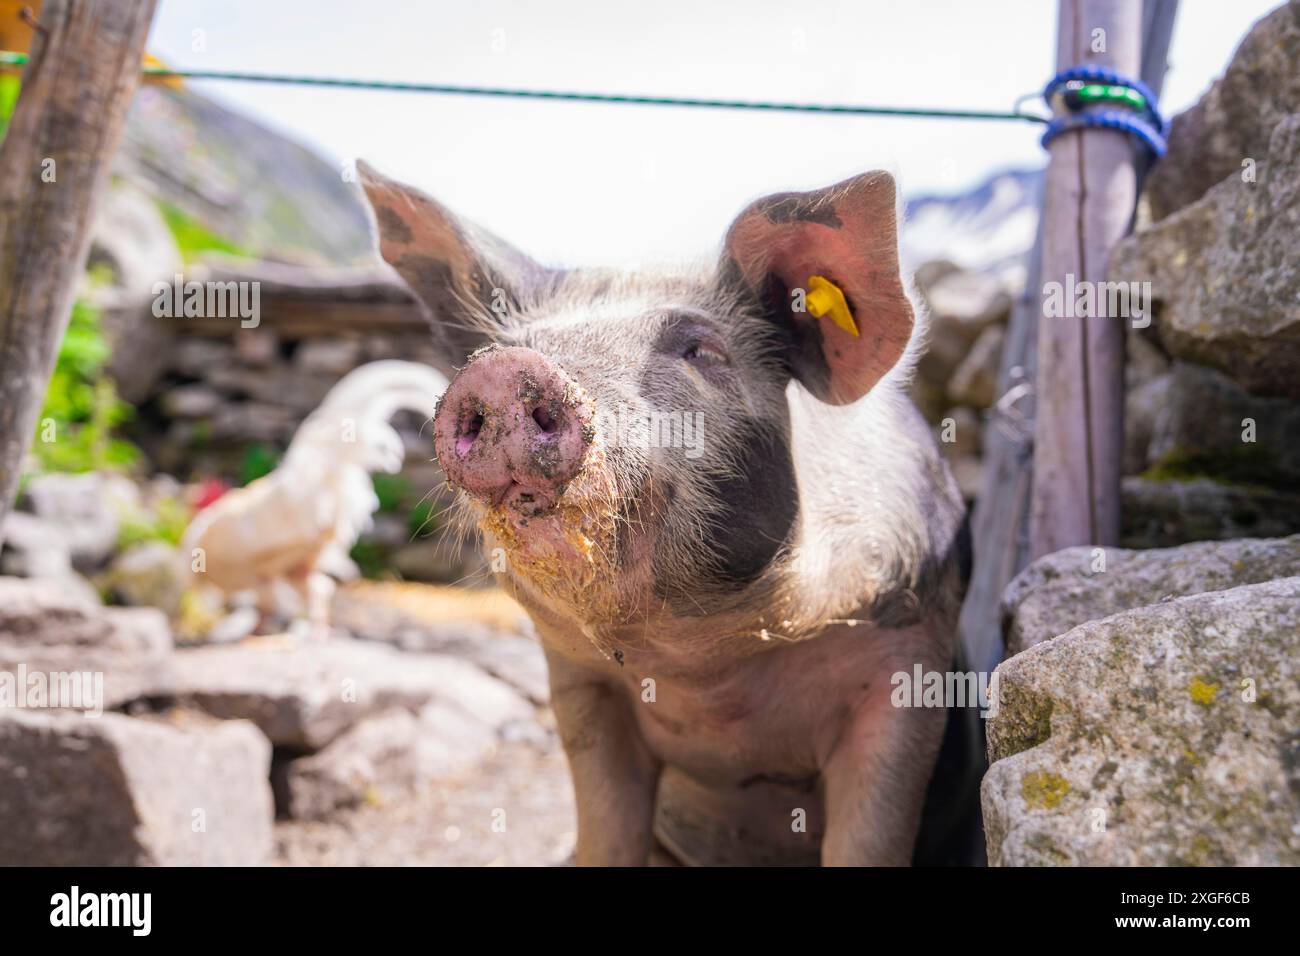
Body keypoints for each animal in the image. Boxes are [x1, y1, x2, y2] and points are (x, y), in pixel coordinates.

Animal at [361, 160, 977, 863]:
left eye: (700, 351)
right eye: (511, 343)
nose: (502, 370)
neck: (704, 668)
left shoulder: (908, 658)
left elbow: (871, 838)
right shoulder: (580, 683)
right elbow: (606, 832)